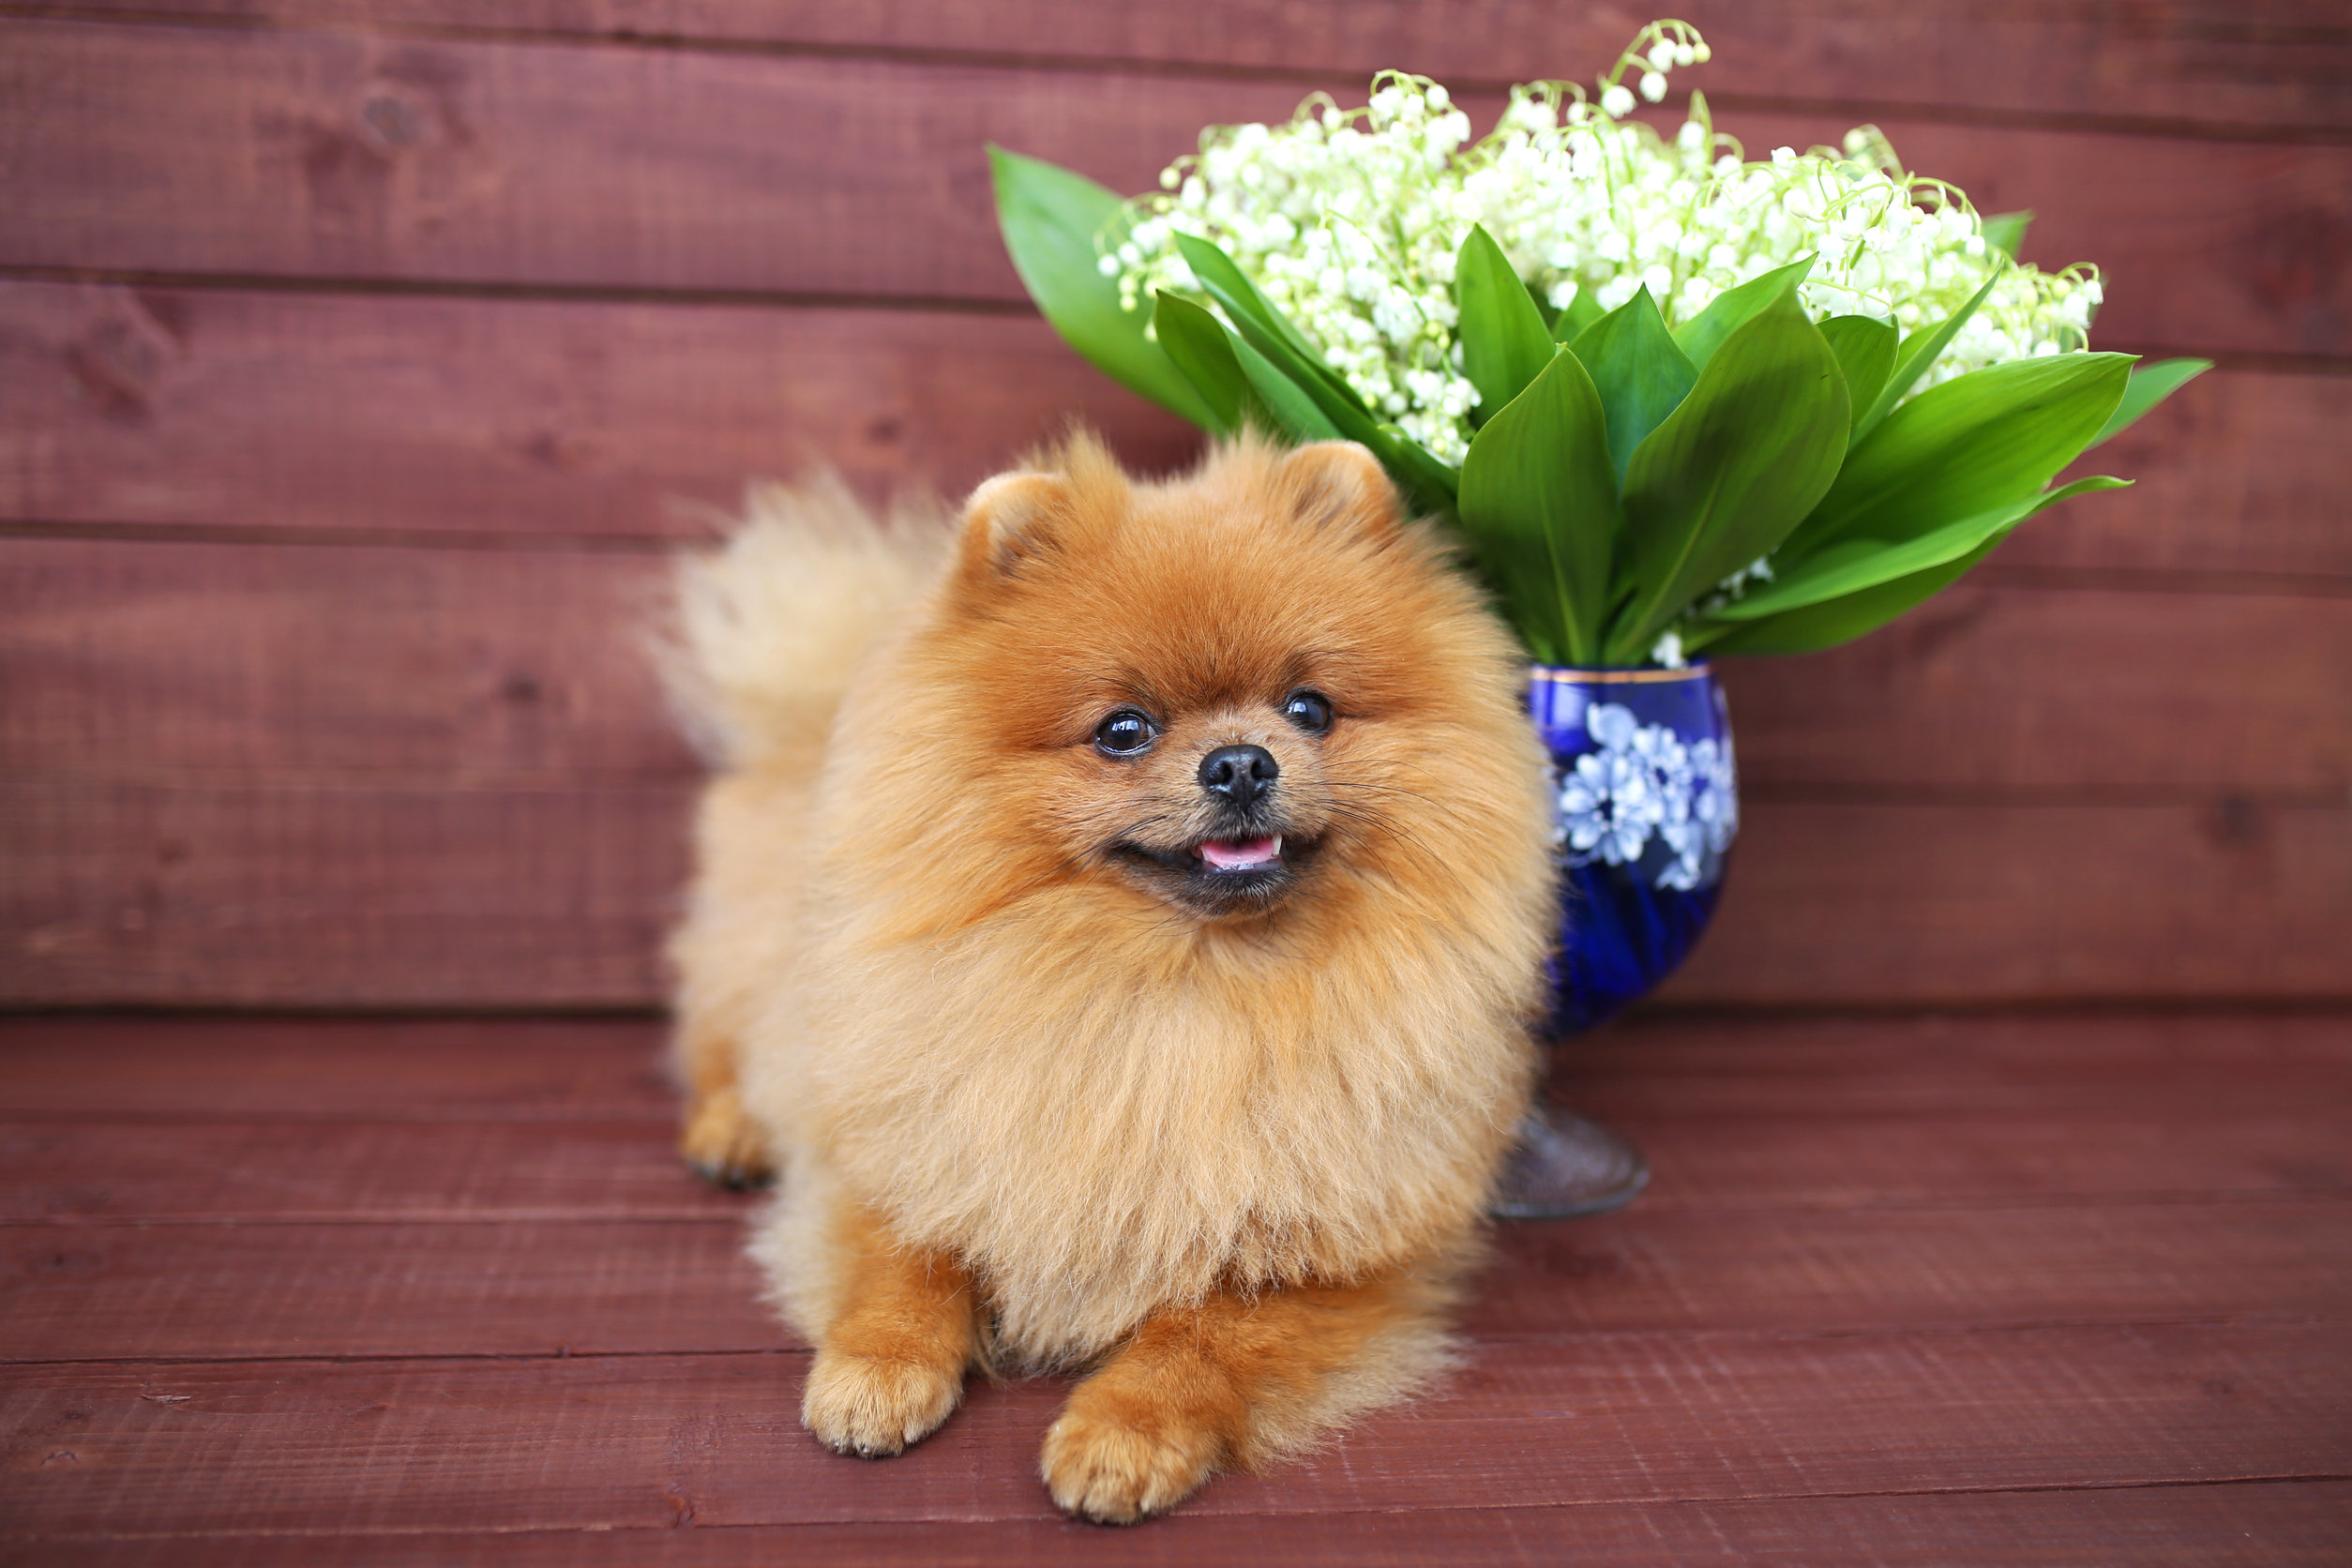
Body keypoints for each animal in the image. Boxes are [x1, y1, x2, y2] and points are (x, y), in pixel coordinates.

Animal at [663, 430, 1561, 1523]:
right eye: (1123, 729)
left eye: (1310, 708)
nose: (1241, 762)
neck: (1174, 993)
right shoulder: (898, 1131)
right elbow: (902, 1252)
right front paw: (875, 1369)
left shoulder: (1341, 1254)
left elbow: (1205, 1331)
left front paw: (1124, 1432)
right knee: (722, 1039)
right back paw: (732, 1129)